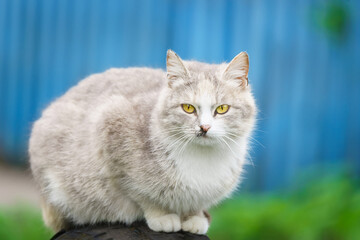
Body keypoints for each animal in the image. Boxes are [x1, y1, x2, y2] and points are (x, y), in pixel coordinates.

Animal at [29, 49, 258, 235]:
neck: (201, 157)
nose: (204, 128)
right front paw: (161, 216)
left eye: (222, 109)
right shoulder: (110, 126)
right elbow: (140, 193)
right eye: (188, 108)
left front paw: (195, 217)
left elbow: (194, 203)